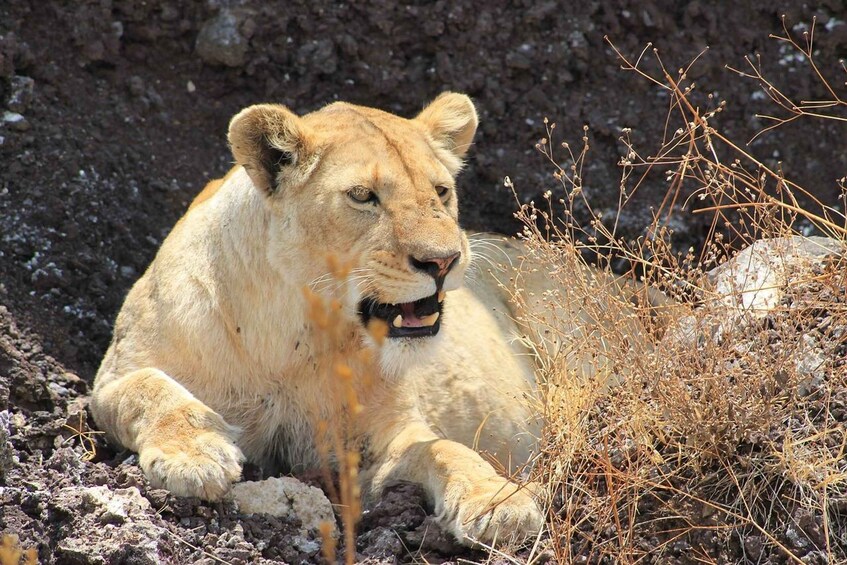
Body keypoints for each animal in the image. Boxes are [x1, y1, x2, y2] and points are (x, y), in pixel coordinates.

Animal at [90, 93, 653, 547]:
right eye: (363, 196)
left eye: (441, 192)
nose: (444, 261)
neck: (297, 332)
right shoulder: (111, 378)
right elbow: (149, 389)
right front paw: (196, 455)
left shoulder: (379, 443)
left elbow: (446, 450)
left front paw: (499, 501)